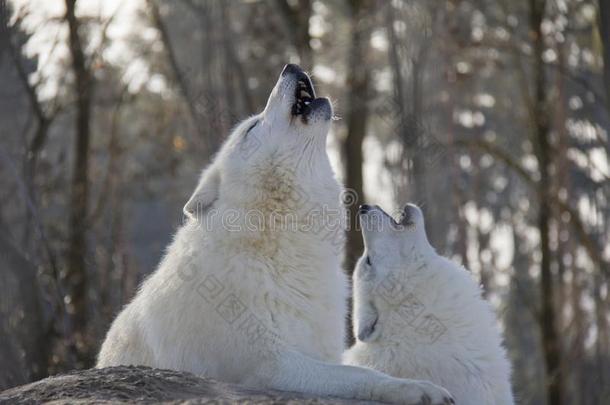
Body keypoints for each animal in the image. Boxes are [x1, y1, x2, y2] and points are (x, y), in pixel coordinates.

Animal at [97, 64, 452, 402]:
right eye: (252, 128)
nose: (290, 66)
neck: (276, 248)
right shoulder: (271, 365)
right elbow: (361, 374)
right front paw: (419, 389)